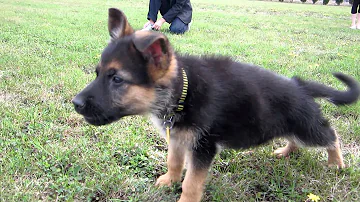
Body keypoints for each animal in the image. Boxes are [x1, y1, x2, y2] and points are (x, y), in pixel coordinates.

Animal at [74, 8, 360, 202]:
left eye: (117, 79)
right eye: (97, 74)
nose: (75, 103)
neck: (182, 91)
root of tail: (300, 85)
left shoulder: (203, 147)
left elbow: (191, 182)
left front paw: (184, 197)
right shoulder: (178, 137)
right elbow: (174, 161)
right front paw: (168, 181)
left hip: (306, 127)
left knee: (331, 135)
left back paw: (336, 163)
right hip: (292, 126)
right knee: (299, 140)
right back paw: (286, 151)